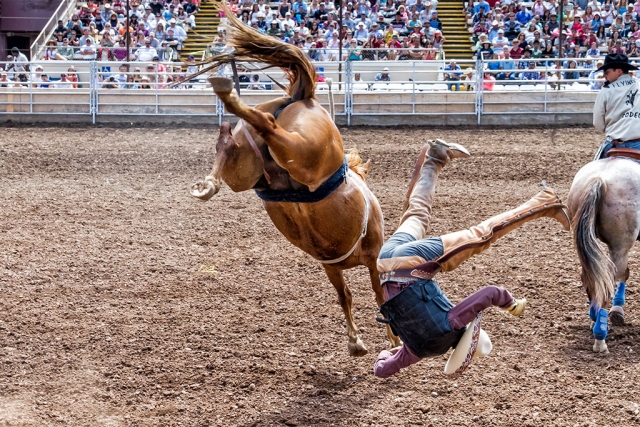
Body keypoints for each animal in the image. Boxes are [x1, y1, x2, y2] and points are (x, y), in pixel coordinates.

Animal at [190, 4, 398, 358]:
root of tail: (306, 97)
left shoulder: (331, 266)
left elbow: (345, 295)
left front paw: (355, 340)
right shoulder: (373, 260)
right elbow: (378, 296)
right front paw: (392, 340)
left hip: (247, 167)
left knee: (234, 140)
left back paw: (212, 169)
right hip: (304, 151)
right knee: (267, 123)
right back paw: (227, 93)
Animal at [568, 157, 640, 354]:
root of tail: (600, 178)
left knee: (591, 277)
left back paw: (595, 316)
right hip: (620, 246)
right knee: (610, 280)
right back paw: (600, 337)